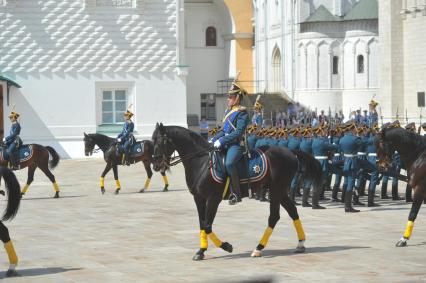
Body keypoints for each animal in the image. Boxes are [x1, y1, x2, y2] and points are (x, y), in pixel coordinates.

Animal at [151, 124, 322, 262]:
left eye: (160, 142)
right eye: (152, 141)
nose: (156, 165)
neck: (202, 163)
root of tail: (290, 152)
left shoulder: (213, 199)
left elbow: (207, 225)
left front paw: (226, 246)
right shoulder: (199, 198)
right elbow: (202, 224)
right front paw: (201, 251)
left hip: (276, 190)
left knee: (274, 216)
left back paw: (258, 248)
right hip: (279, 191)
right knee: (292, 212)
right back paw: (300, 244)